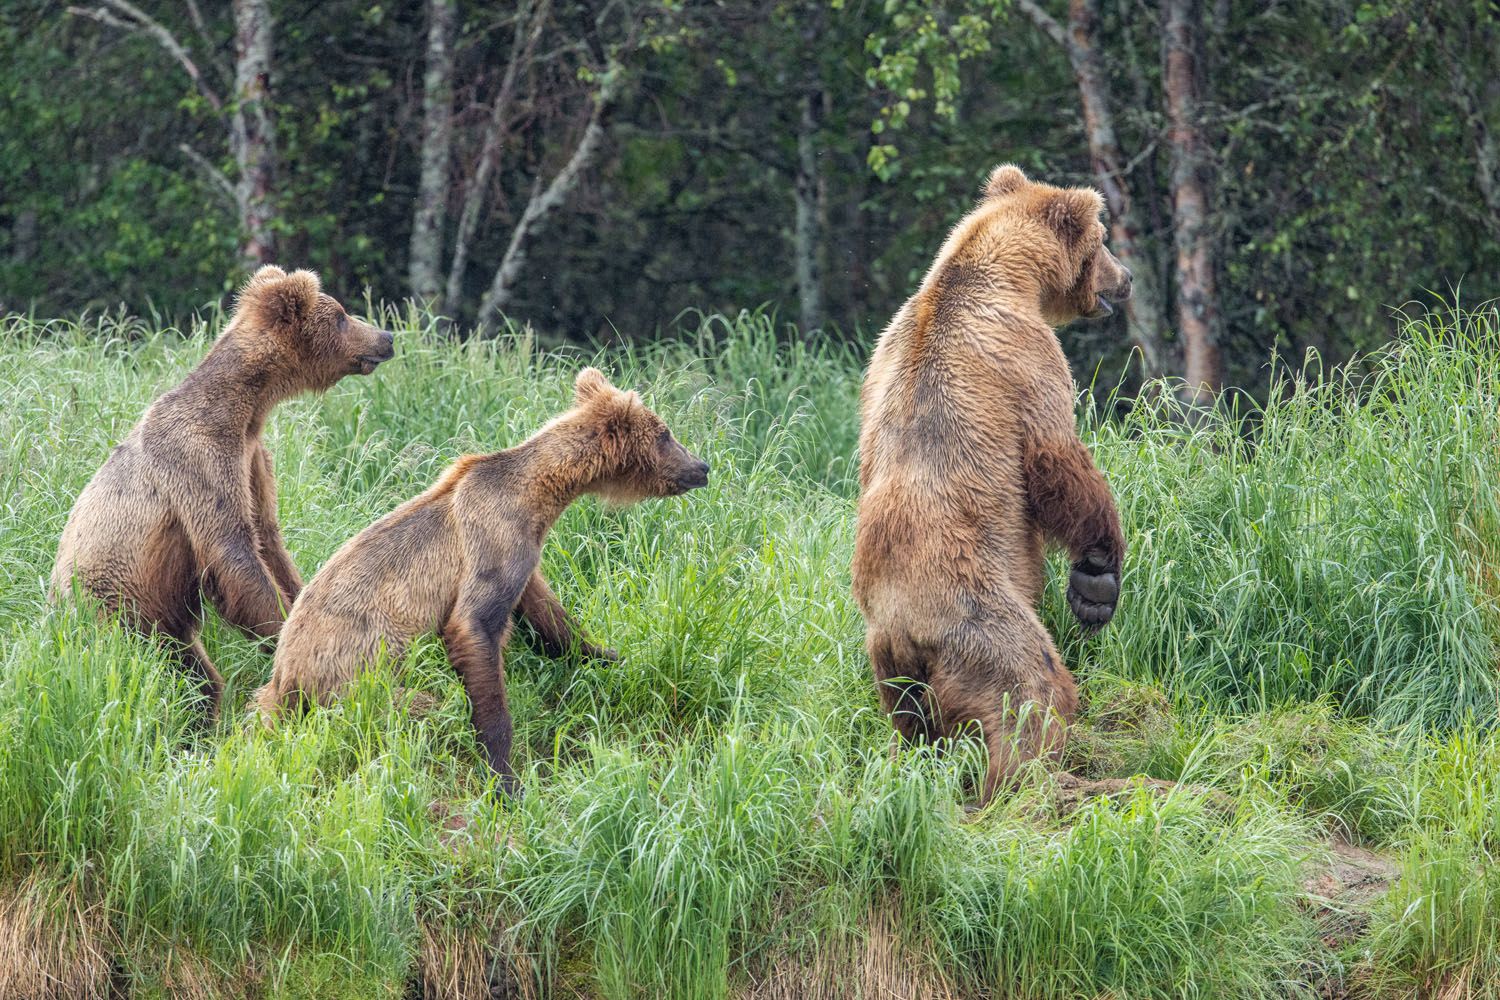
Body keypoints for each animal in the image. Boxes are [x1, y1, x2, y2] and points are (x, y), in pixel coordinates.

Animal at [52, 265, 396, 719]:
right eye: (341, 316)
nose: (387, 336)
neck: (246, 408)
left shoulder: (253, 460)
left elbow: (267, 536)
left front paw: (305, 603)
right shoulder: (200, 458)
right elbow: (231, 548)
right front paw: (282, 632)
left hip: (163, 621)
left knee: (191, 675)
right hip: (114, 604)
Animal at [255, 370, 711, 797]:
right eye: (665, 433)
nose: (703, 467)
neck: (539, 498)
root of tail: (284, 677)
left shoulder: (526, 558)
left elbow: (552, 620)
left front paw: (611, 655)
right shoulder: (494, 542)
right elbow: (475, 629)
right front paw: (506, 776)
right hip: (360, 676)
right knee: (418, 709)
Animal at [852, 166, 1128, 803]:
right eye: (1103, 240)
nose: (1125, 278)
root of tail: (905, 630)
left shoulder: (878, 359)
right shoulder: (1026, 358)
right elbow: (1057, 459)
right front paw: (1097, 576)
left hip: (891, 674)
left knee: (912, 728)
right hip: (984, 621)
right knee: (1030, 692)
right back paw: (1036, 778)